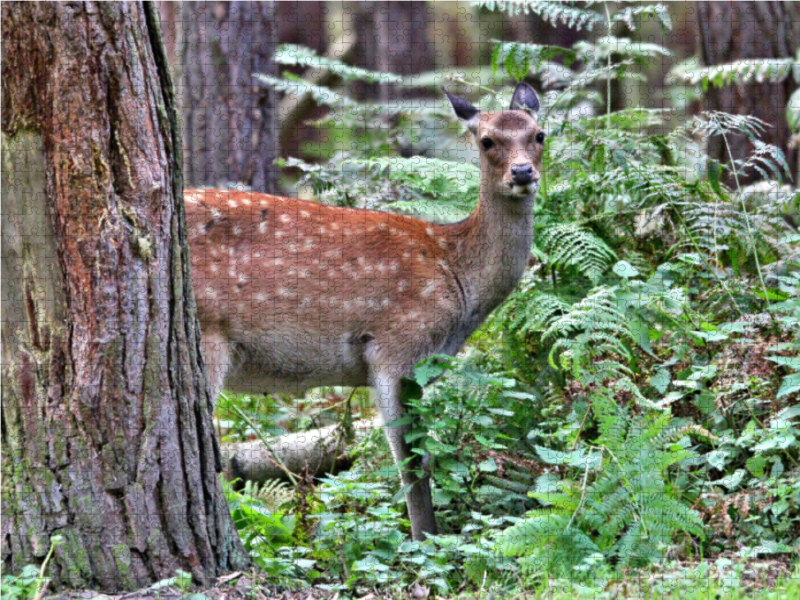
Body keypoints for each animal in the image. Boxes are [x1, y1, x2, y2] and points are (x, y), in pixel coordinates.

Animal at [182, 83, 544, 540]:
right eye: (486, 141)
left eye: (540, 134)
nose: (522, 172)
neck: (458, 276)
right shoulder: (395, 346)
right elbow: (412, 464)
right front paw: (425, 540)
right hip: (208, 333)